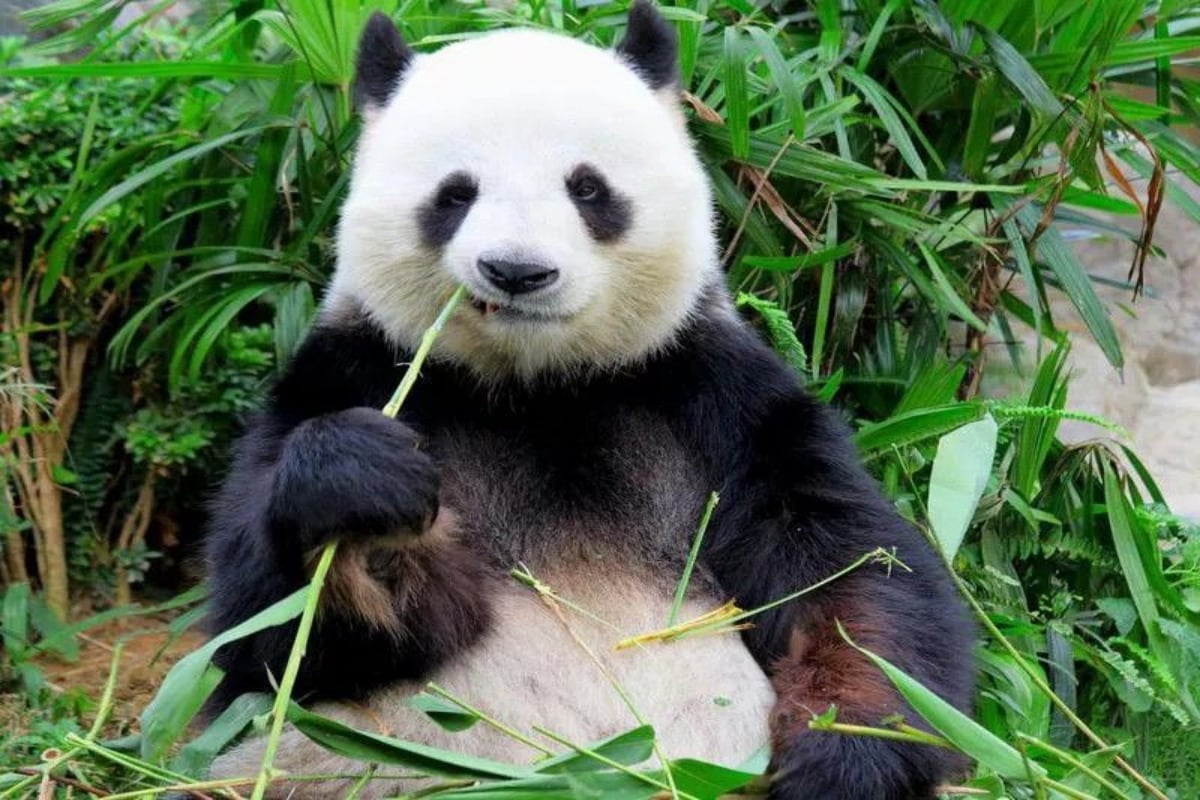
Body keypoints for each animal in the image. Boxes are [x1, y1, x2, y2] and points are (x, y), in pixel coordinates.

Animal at [204, 3, 975, 798]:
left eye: (588, 188)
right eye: (456, 193)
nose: (517, 271)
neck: (538, 386)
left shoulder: (712, 393)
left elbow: (850, 573)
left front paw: (848, 755)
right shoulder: (352, 373)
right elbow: (273, 636)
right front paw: (365, 503)